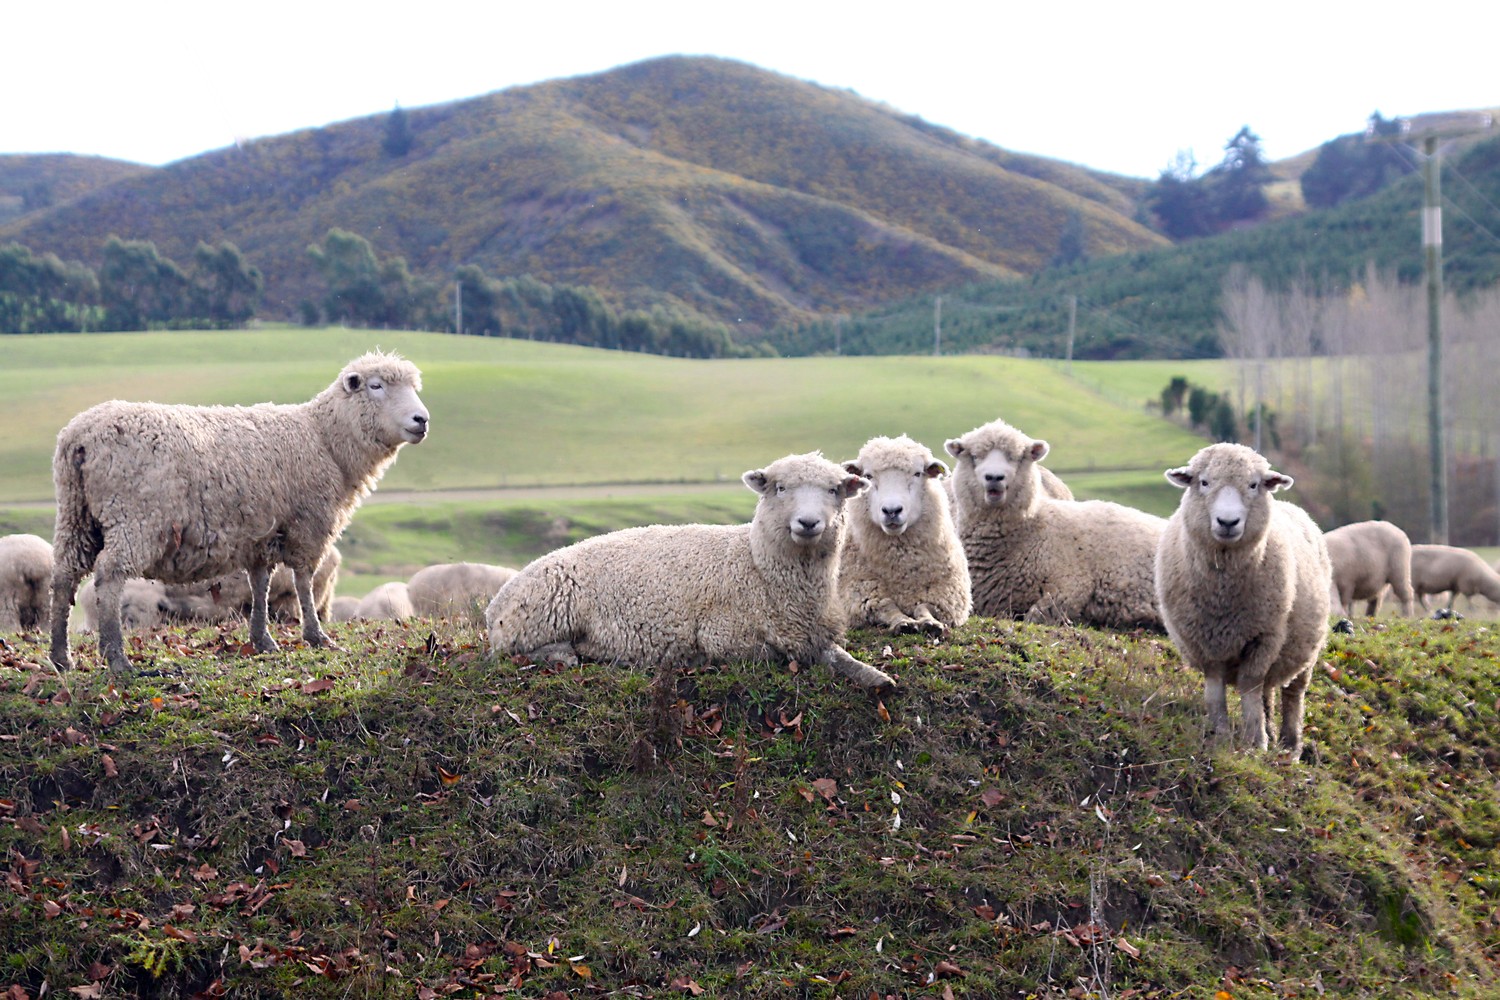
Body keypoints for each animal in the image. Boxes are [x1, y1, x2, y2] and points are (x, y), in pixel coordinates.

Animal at [51, 352, 429, 671]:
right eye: (376, 386)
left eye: (414, 388)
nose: (422, 420)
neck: (324, 438)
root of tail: (79, 436)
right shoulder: (308, 524)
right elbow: (303, 581)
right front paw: (316, 637)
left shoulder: (260, 534)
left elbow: (260, 584)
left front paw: (263, 640)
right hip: (136, 518)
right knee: (109, 574)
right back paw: (116, 658)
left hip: (75, 513)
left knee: (64, 574)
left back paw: (61, 657)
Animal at [489, 452, 888, 692]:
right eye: (780, 488)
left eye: (835, 490)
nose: (808, 522)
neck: (755, 565)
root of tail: (494, 606)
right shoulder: (727, 637)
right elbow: (780, 654)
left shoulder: (813, 632)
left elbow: (837, 655)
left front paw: (877, 678)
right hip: (537, 618)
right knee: (519, 649)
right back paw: (568, 653)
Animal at [834, 434, 972, 638]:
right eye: (868, 476)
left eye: (918, 473)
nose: (892, 510)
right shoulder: (859, 593)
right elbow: (887, 607)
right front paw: (902, 623)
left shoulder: (946, 594)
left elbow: (924, 606)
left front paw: (930, 623)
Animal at [1152, 440, 1332, 755]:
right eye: (1204, 482)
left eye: (1253, 485)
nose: (1227, 521)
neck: (1223, 594)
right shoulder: (1202, 638)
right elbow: (1215, 685)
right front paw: (1221, 732)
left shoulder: (1265, 636)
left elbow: (1250, 684)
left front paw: (1255, 741)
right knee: (1268, 690)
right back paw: (1271, 729)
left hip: (1305, 649)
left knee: (1292, 694)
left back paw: (1290, 744)